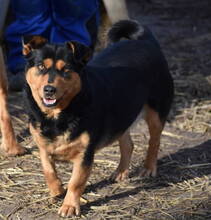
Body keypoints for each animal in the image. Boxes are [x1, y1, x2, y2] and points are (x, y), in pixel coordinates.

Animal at [22, 20, 175, 217]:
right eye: (41, 66)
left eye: (66, 70)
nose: (49, 89)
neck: (57, 116)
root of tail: (145, 41)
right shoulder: (42, 147)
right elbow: (48, 171)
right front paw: (57, 191)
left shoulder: (84, 154)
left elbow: (76, 182)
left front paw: (69, 206)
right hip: (121, 115)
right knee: (128, 144)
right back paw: (121, 171)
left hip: (156, 112)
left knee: (154, 141)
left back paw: (148, 168)